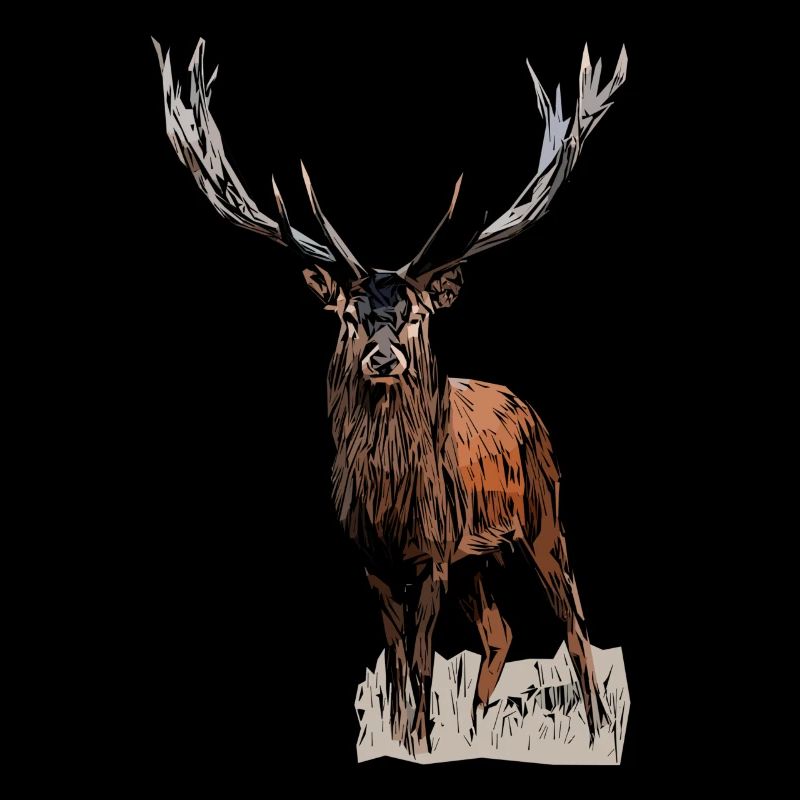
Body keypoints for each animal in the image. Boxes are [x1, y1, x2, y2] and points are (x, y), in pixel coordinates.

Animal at [153, 38, 627, 755]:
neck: (390, 505)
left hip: (544, 512)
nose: (383, 357)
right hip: (477, 556)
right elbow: (400, 667)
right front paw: (407, 738)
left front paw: (421, 744)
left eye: (417, 313)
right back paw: (477, 725)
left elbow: (425, 665)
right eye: (349, 314)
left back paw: (597, 729)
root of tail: (527, 408)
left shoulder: (432, 553)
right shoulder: (372, 562)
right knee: (499, 631)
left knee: (573, 619)